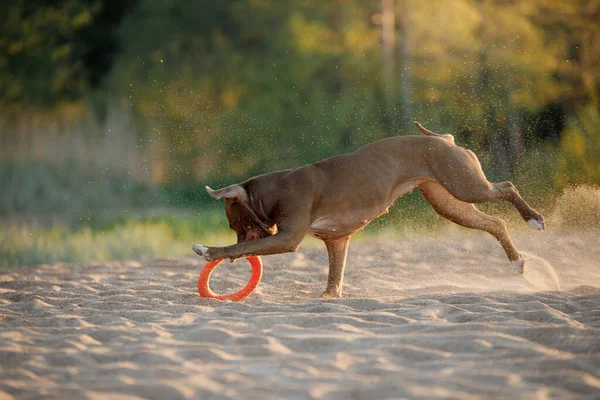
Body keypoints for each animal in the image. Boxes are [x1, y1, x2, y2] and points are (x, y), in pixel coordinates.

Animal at [193, 123, 544, 298]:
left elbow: (241, 248)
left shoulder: (288, 238)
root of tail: (445, 138)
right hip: (451, 204)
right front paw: (328, 297)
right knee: (496, 223)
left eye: (235, 225)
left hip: (467, 185)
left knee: (507, 187)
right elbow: (334, 278)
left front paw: (210, 250)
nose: (239, 237)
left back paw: (534, 219)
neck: (274, 190)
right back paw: (517, 262)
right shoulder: (336, 240)